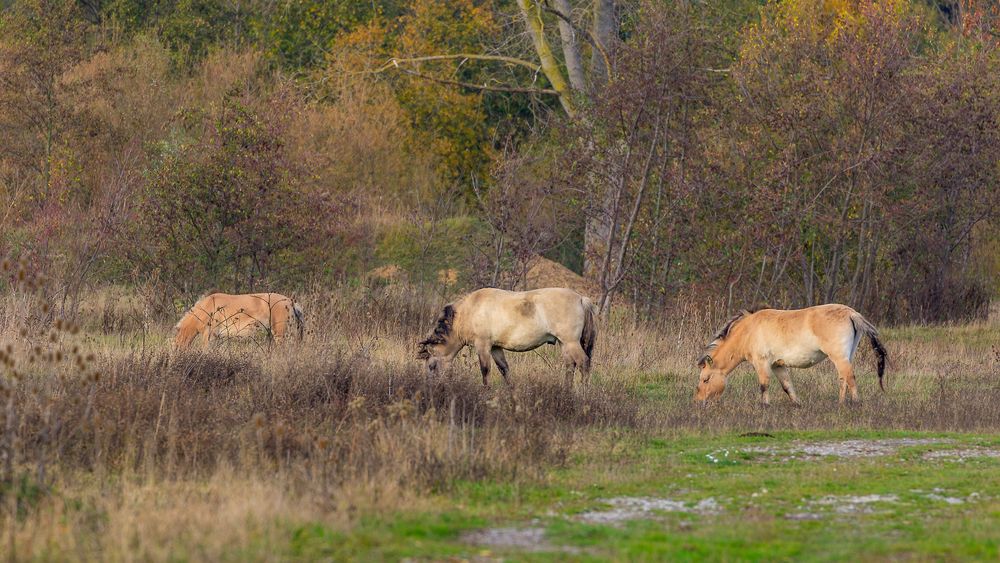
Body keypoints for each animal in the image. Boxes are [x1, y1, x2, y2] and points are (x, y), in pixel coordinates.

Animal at [418, 286, 596, 388]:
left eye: (431, 366)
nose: (430, 389)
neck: (469, 311)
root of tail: (581, 299)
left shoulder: (483, 346)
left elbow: (485, 370)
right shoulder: (496, 348)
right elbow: (504, 370)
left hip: (571, 343)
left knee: (584, 363)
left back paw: (583, 392)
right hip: (564, 344)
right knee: (570, 366)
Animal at [692, 304, 888, 406]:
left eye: (706, 379)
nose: (699, 401)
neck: (749, 330)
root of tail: (851, 313)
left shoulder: (762, 363)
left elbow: (763, 385)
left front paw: (764, 406)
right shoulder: (778, 365)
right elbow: (787, 387)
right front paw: (797, 404)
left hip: (839, 357)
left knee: (850, 377)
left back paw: (854, 403)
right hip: (846, 356)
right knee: (843, 378)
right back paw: (840, 403)